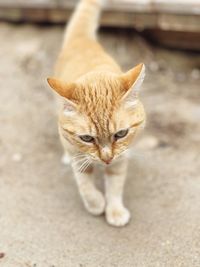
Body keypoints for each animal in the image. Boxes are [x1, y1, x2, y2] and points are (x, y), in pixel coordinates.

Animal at [47, 0, 146, 228]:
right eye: (87, 138)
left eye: (121, 134)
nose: (106, 158)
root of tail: (82, 39)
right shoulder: (77, 154)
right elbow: (84, 183)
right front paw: (96, 204)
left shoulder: (120, 158)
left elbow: (115, 184)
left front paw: (115, 210)